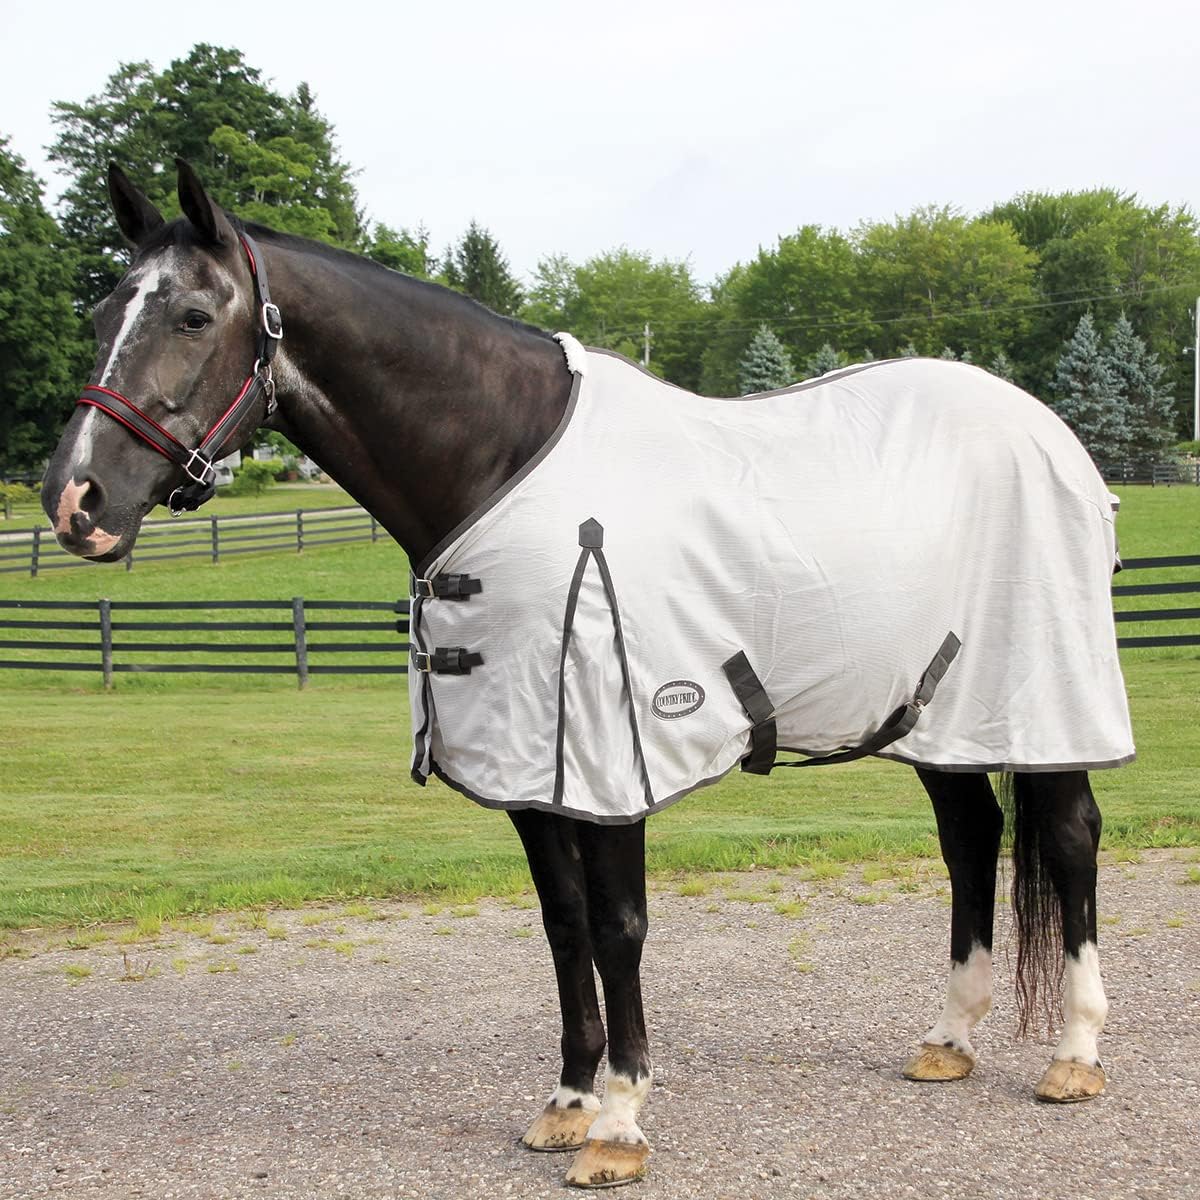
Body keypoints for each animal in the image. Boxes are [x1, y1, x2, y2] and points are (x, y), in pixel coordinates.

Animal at [42, 160, 1129, 1190]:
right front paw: (566, 1101)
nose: (74, 502)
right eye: (100, 314)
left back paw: (1075, 1054)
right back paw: (948, 1039)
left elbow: (618, 928)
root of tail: (1045, 428)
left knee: (1070, 839)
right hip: (936, 711)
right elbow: (564, 926)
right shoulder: (533, 765)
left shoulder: (613, 759)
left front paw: (619, 1125)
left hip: (1042, 692)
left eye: (192, 315)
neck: (501, 458)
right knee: (971, 838)